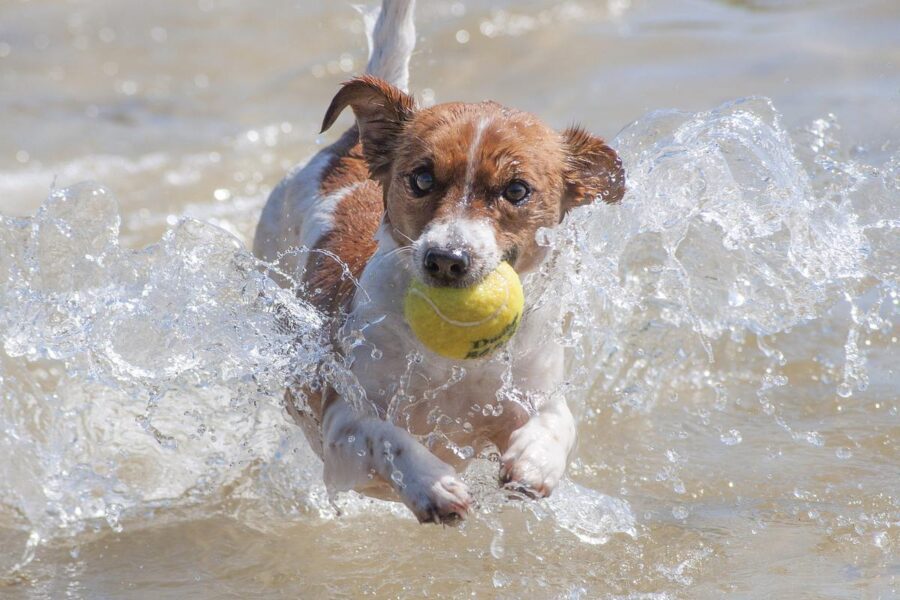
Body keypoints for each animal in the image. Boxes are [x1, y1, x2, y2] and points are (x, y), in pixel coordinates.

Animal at [251, 0, 620, 524]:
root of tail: (351, 143)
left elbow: (557, 422)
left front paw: (535, 461)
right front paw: (432, 484)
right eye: (421, 179)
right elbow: (387, 437)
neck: (453, 366)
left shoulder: (535, 391)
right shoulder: (341, 423)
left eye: (517, 190)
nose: (446, 259)